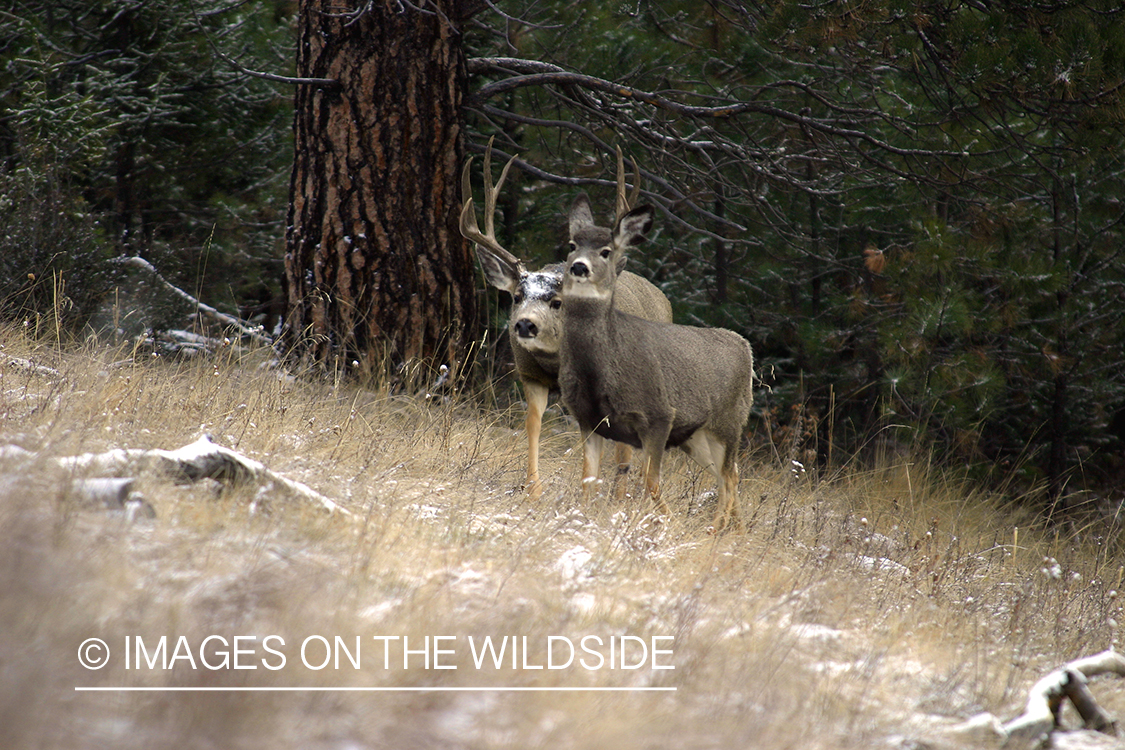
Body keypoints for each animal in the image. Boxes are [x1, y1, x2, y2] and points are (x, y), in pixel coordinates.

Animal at [459, 139, 672, 500]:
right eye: (517, 296)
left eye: (557, 301)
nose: (524, 324)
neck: (556, 360)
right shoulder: (530, 374)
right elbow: (533, 423)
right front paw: (533, 488)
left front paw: (594, 496)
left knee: (629, 446)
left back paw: (623, 494)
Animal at [558, 198, 754, 533]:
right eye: (572, 245)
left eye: (606, 250)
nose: (579, 266)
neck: (601, 371)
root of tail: (745, 346)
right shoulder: (588, 419)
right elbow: (588, 479)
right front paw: (578, 521)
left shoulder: (659, 415)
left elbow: (651, 481)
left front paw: (670, 527)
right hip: (696, 435)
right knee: (729, 475)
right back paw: (734, 534)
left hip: (729, 423)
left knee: (728, 478)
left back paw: (714, 532)